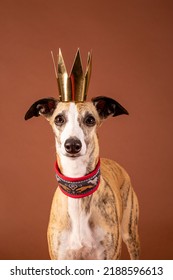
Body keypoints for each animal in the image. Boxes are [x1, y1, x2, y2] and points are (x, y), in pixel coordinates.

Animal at [24, 96, 141, 260]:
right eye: (59, 119)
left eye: (90, 119)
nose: (72, 145)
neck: (77, 186)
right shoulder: (60, 255)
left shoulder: (108, 255)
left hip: (130, 233)